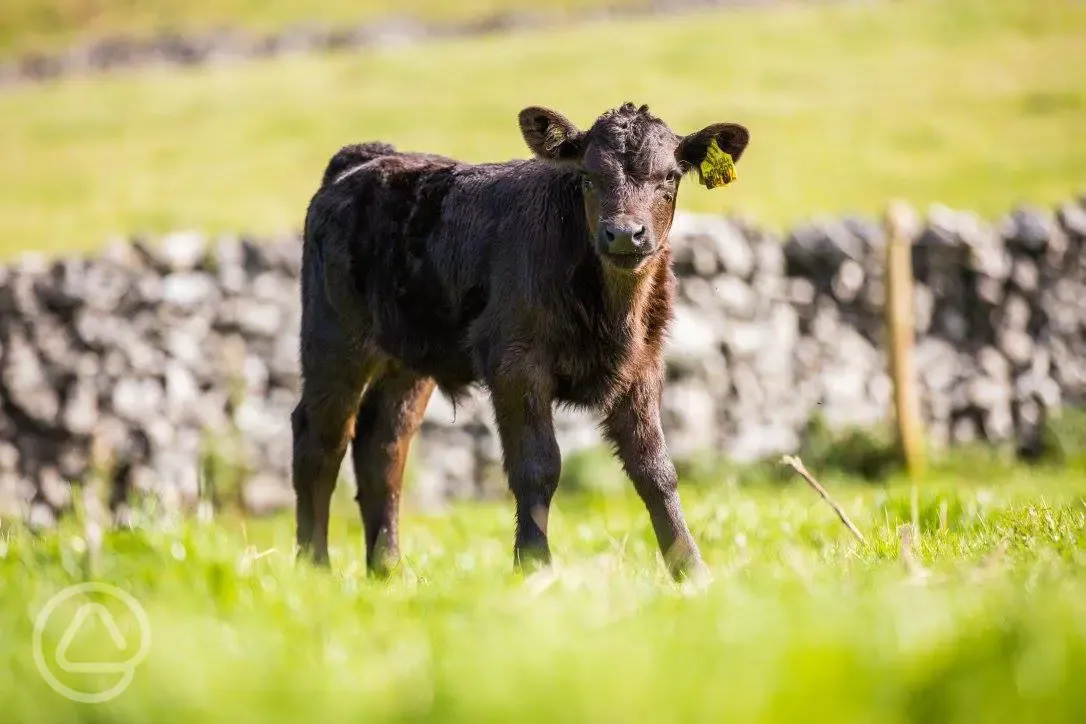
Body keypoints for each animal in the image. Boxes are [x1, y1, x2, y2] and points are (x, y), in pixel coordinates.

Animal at [293, 102, 750, 581]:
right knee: (318, 442)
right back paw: (314, 566)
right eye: (588, 177)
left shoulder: (642, 365)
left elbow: (655, 469)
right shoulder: (516, 363)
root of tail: (365, 158)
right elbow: (537, 466)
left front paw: (690, 569)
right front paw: (534, 564)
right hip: (334, 341)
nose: (625, 234)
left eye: (670, 177)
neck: (610, 312)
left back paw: (388, 570)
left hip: (408, 360)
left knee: (382, 447)